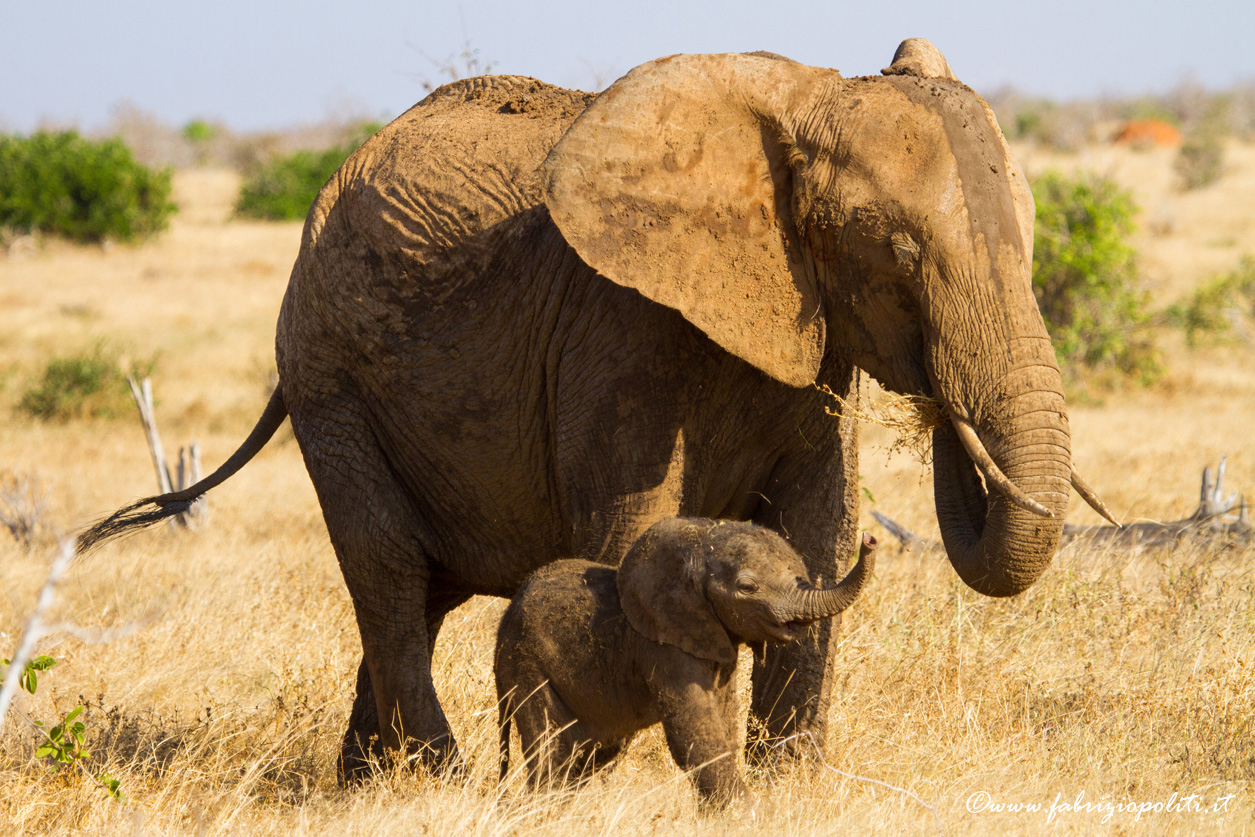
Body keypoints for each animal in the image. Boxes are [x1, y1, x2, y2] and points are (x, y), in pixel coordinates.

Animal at [495, 519, 877, 806]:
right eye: (748, 587)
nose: (869, 538)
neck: (700, 544)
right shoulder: (664, 646)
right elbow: (696, 731)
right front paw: (750, 815)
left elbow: (721, 723)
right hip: (527, 662)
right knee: (551, 748)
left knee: (592, 753)